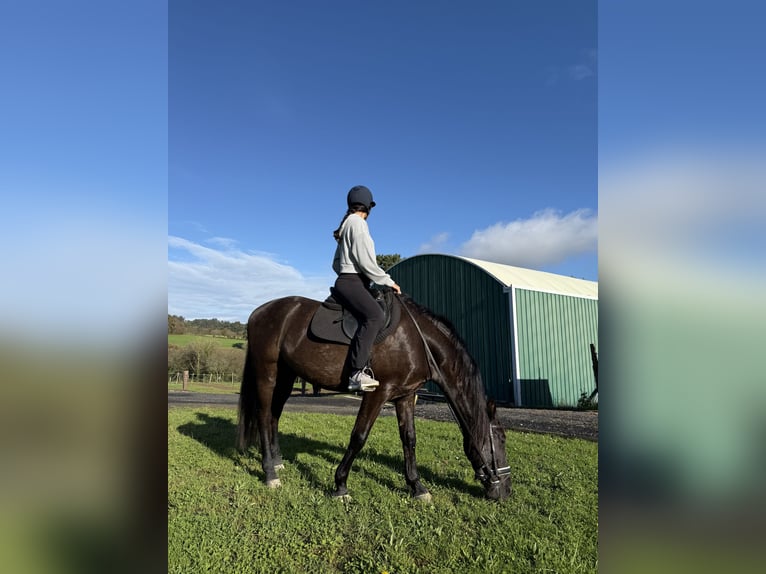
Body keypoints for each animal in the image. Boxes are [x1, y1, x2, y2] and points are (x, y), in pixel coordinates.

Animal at [237, 293, 512, 501]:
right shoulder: (378, 393)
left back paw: (277, 461)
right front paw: (340, 485)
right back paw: (270, 473)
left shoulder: (405, 395)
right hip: (267, 375)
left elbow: (409, 439)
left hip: (285, 376)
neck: (417, 340)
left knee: (274, 415)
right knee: (263, 416)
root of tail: (258, 312)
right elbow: (359, 436)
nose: (507, 489)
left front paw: (417, 486)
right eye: (501, 439)